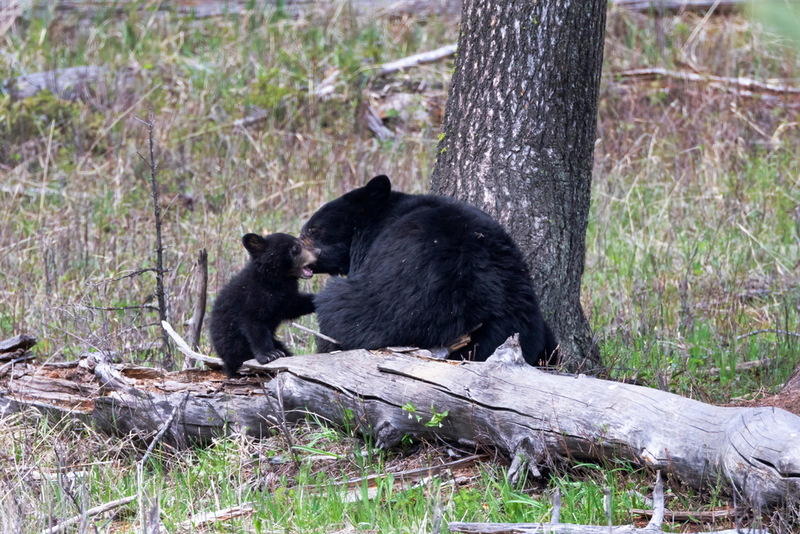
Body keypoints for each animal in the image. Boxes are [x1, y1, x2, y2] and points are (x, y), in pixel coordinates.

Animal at [211, 233, 318, 376]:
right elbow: (254, 323)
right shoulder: (253, 297)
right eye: (296, 247)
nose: (318, 251)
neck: (274, 279)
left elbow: (294, 306)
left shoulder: (285, 298)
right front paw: (269, 355)